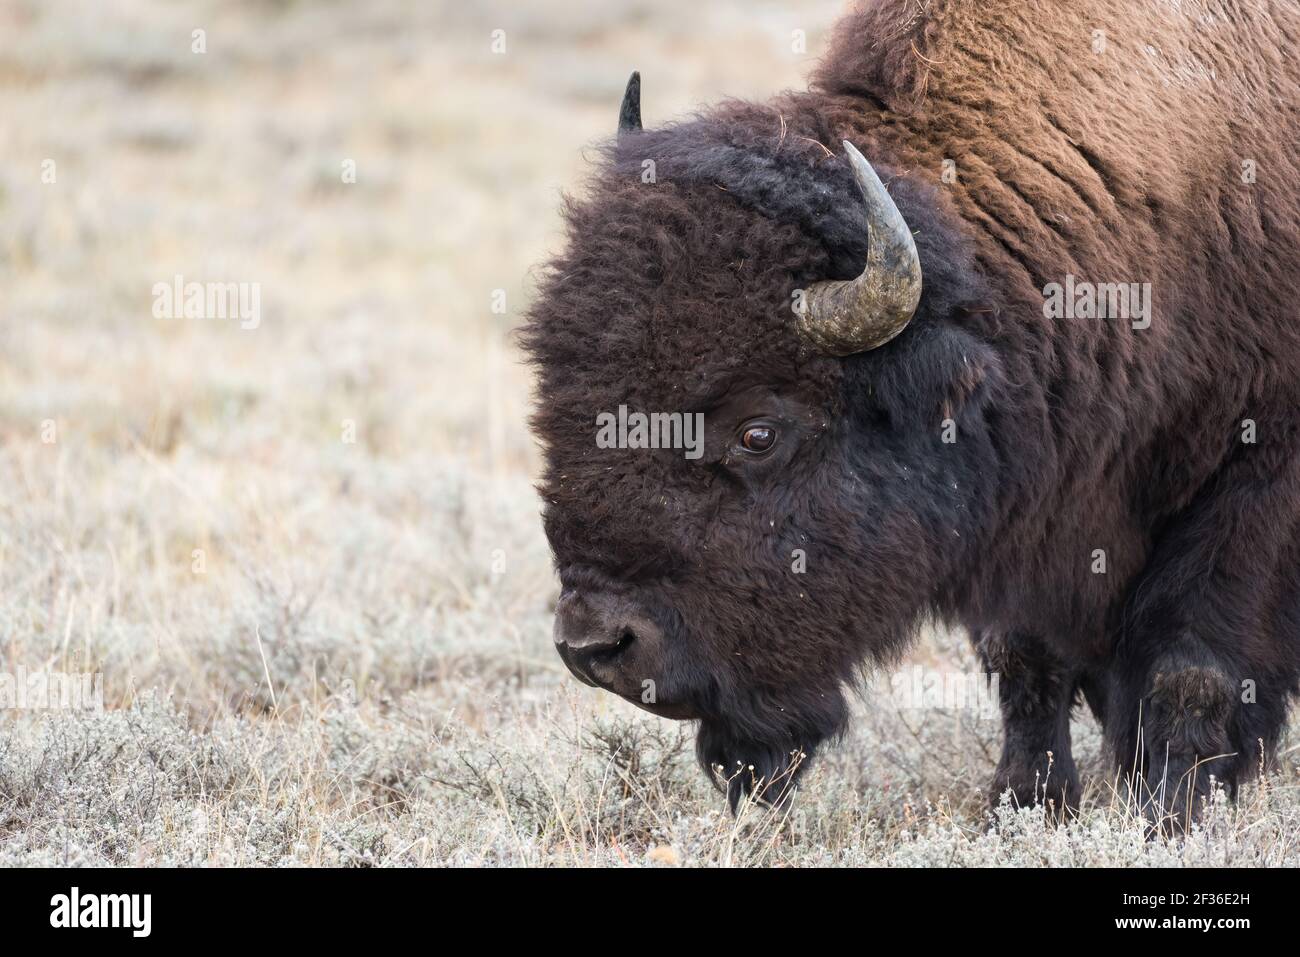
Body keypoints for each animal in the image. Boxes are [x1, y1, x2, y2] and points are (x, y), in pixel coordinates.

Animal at [517, 0, 1300, 832]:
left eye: (758, 432)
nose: (596, 645)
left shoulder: (1257, 484)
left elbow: (1191, 667)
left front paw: (1169, 815)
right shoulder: (1029, 504)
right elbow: (1027, 658)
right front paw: (1026, 802)